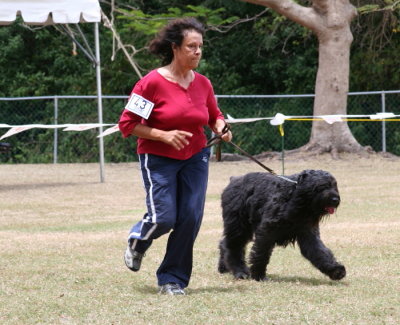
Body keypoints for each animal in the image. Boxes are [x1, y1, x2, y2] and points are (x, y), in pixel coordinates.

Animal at [217, 170, 346, 280]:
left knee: (225, 243)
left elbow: (320, 251)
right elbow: (261, 252)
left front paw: (336, 270)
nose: (335, 199)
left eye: (334, 185)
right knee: (234, 246)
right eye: (321, 186)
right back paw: (240, 272)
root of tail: (233, 180)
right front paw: (259, 275)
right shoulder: (267, 232)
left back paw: (224, 268)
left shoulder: (308, 234)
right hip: (238, 226)